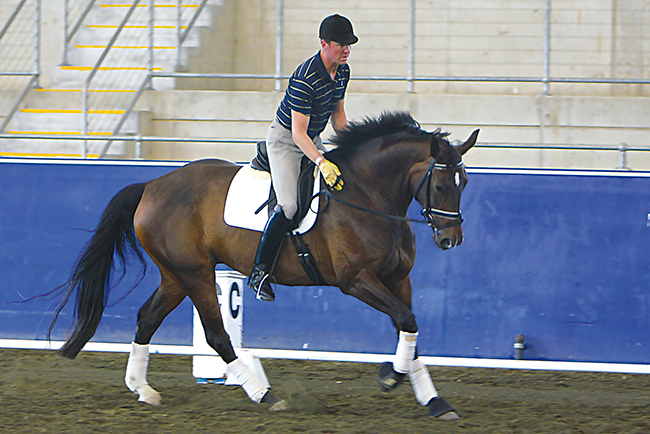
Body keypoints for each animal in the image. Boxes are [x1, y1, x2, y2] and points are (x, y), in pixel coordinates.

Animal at [49, 111, 476, 420]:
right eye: (441, 186)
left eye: (465, 183)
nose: (450, 239)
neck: (367, 195)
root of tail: (153, 186)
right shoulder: (356, 281)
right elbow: (406, 321)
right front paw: (390, 377)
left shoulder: (397, 279)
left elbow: (409, 326)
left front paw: (433, 400)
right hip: (196, 275)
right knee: (217, 335)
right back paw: (264, 395)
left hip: (175, 276)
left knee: (147, 317)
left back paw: (143, 388)